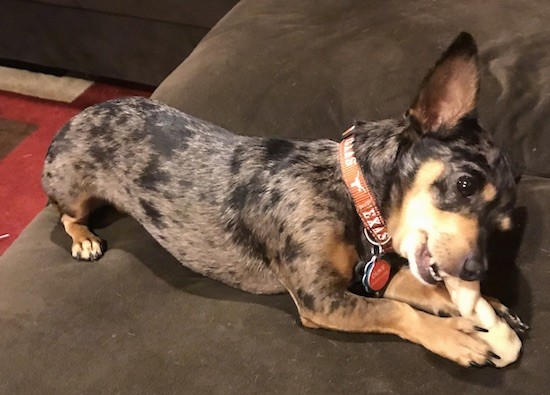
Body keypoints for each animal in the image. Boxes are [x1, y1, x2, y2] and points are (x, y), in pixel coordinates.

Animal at [42, 32, 528, 366]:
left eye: (502, 226)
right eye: (464, 185)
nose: (477, 271)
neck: (352, 196)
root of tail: (82, 113)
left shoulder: (369, 277)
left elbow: (417, 288)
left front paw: (489, 307)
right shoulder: (320, 298)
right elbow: (396, 311)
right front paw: (458, 337)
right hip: (71, 187)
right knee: (63, 214)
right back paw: (84, 239)